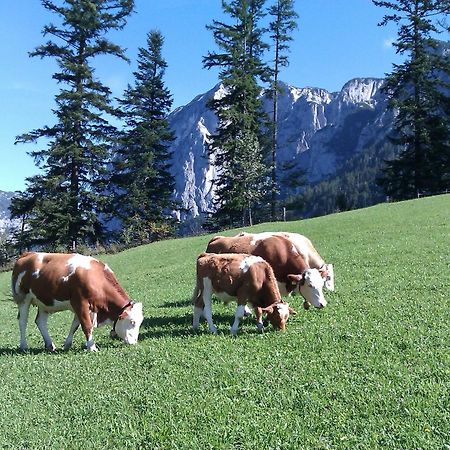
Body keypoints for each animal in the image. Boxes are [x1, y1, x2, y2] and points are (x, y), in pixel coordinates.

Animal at [11, 253, 144, 352]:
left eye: (140, 322)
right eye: (132, 322)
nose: (134, 343)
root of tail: (28, 254)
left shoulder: (80, 306)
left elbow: (75, 325)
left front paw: (67, 344)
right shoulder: (80, 303)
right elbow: (87, 325)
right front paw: (92, 347)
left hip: (45, 302)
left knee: (40, 321)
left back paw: (50, 345)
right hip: (23, 299)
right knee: (23, 322)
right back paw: (24, 345)